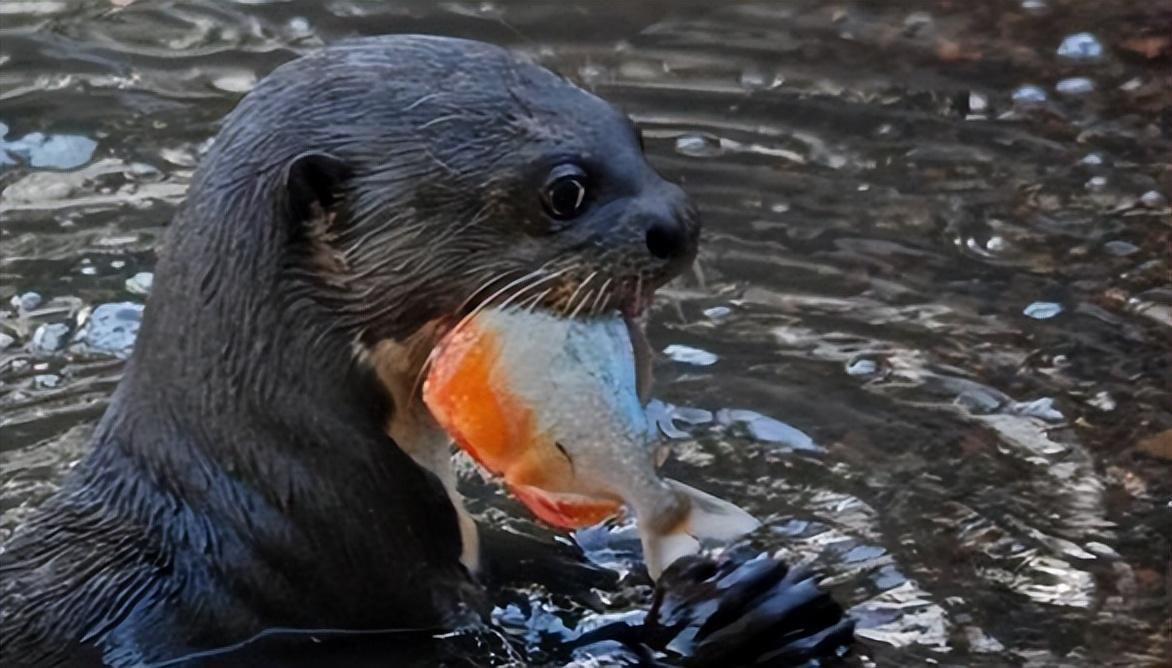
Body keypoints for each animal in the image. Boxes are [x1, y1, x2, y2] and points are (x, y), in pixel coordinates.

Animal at [0, 37, 853, 665]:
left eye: (635, 134)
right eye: (566, 190)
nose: (681, 222)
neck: (282, 494)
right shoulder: (368, 586)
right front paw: (732, 618)